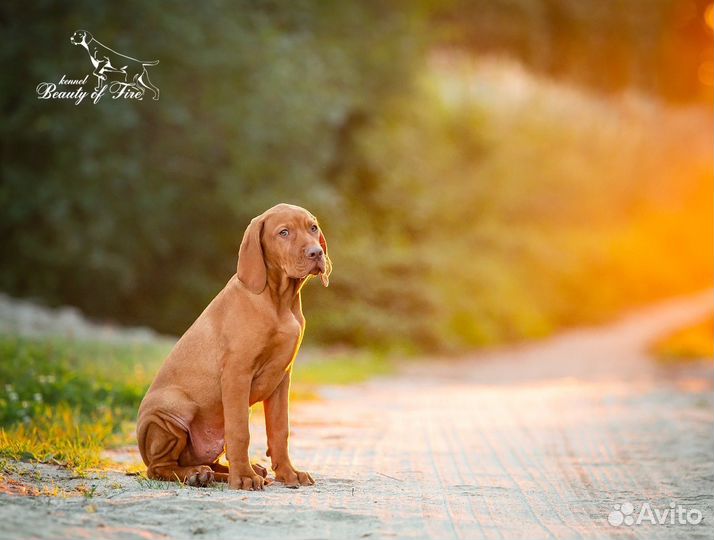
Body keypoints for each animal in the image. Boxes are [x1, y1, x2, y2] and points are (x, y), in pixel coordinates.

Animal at [136, 204, 330, 490]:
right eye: (283, 232)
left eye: (313, 228)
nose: (316, 253)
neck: (278, 300)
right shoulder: (237, 373)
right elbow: (240, 431)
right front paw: (244, 478)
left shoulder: (282, 378)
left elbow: (280, 430)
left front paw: (288, 474)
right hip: (168, 412)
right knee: (159, 468)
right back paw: (198, 475)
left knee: (209, 462)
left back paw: (225, 472)